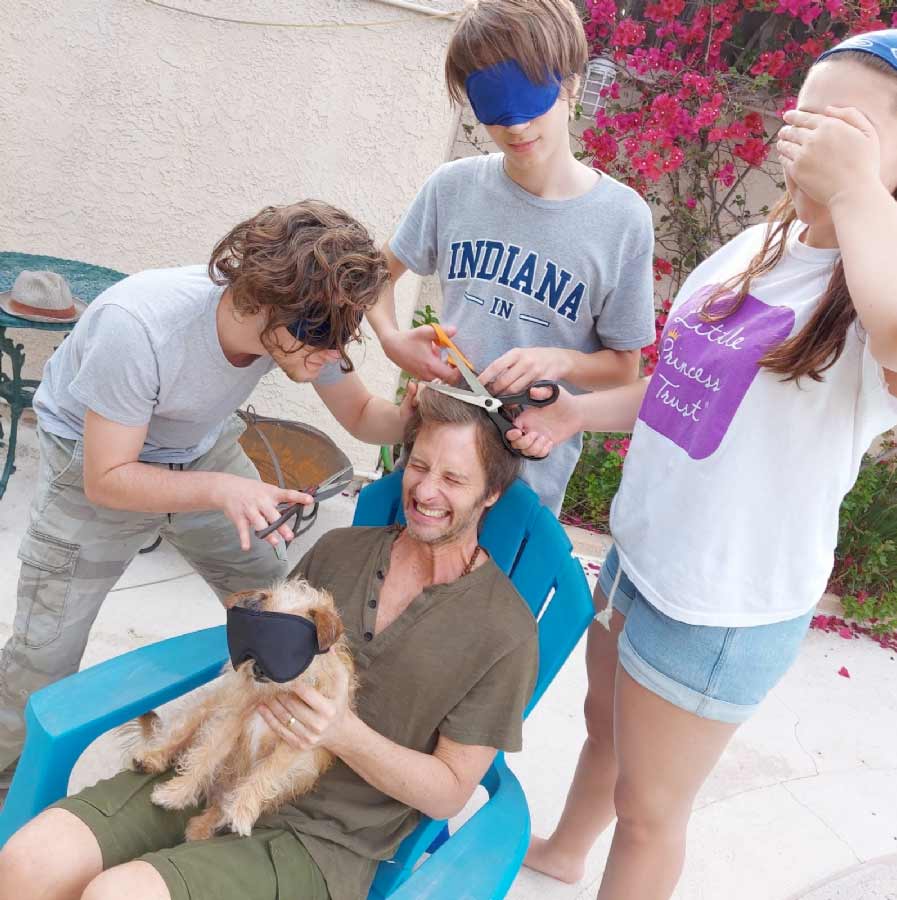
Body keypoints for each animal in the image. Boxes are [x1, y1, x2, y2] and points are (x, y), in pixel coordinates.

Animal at [122, 580, 354, 840]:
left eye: (284, 649)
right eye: (251, 637)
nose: (257, 668)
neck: (273, 693)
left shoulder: (297, 743)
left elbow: (266, 772)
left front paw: (242, 810)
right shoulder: (230, 719)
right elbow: (204, 756)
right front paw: (176, 793)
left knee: (219, 805)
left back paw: (205, 824)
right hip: (202, 710)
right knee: (174, 738)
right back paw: (150, 758)